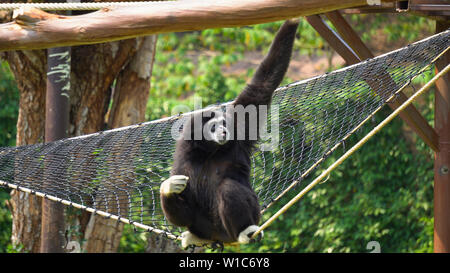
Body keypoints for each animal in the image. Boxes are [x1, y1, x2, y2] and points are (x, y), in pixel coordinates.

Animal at [160, 18, 300, 246]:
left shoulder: (238, 127)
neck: (209, 152)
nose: (224, 130)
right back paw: (196, 236)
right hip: (208, 228)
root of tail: (222, 237)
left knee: (228, 187)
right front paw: (168, 187)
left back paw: (245, 231)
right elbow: (182, 215)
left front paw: (293, 20)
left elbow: (260, 88)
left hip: (249, 216)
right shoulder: (182, 160)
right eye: (213, 126)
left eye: (224, 123)